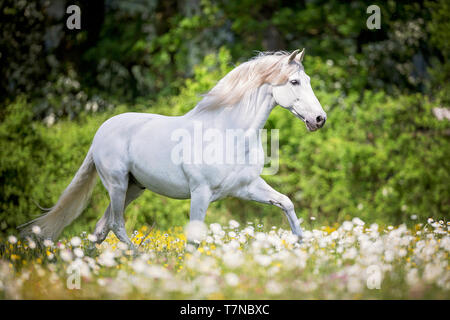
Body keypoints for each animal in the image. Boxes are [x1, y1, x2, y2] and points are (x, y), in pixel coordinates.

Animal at [19, 48, 326, 246]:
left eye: (309, 81)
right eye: (294, 81)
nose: (319, 119)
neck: (228, 134)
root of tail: (101, 133)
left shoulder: (247, 187)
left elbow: (286, 202)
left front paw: (302, 248)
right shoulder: (200, 194)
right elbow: (194, 240)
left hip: (133, 188)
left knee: (100, 229)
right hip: (117, 186)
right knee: (116, 225)